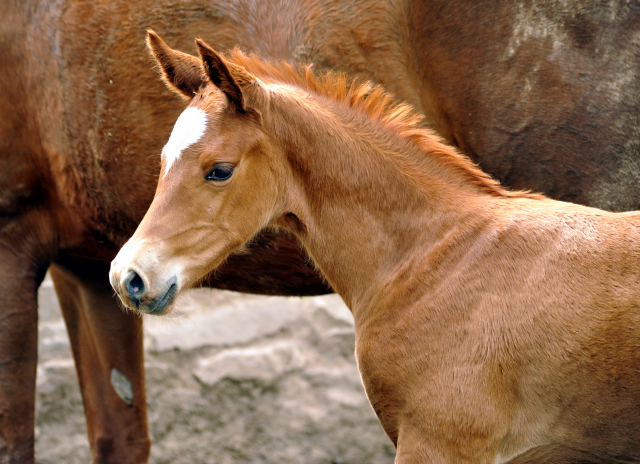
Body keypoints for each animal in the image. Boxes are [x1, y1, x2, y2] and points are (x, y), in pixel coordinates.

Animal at [3, 0, 640, 462]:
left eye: (219, 169)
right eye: (161, 160)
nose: (131, 275)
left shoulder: (440, 443)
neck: (444, 254)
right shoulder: (78, 266)